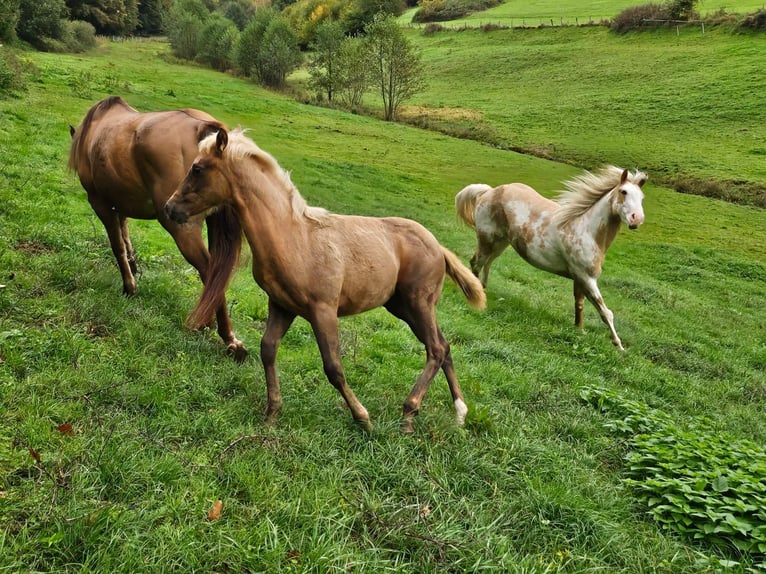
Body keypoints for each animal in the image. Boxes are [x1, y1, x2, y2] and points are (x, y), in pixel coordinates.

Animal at [70, 97, 246, 362]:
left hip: (180, 227)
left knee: (209, 270)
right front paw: (133, 268)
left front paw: (129, 286)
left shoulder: (100, 203)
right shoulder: (118, 204)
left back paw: (228, 339)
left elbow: (117, 245)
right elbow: (125, 237)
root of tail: (201, 127)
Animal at [166, 128, 486, 434]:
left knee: (435, 349)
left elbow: (333, 367)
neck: (293, 237)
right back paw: (459, 414)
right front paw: (272, 415)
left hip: (419, 302)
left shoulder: (323, 310)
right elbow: (268, 350)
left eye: (197, 168)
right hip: (402, 307)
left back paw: (409, 414)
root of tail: (438, 246)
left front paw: (363, 419)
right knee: (443, 346)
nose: (170, 208)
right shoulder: (281, 305)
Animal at [456, 166, 648, 352]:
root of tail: (489, 191)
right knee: (476, 263)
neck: (586, 230)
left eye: (642, 197)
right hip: (487, 240)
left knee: (487, 263)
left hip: (500, 243)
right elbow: (606, 312)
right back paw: (476, 293)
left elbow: (579, 304)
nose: (636, 219)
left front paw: (579, 331)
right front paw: (619, 346)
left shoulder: (579, 278)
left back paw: (484, 288)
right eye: (623, 191)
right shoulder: (587, 278)